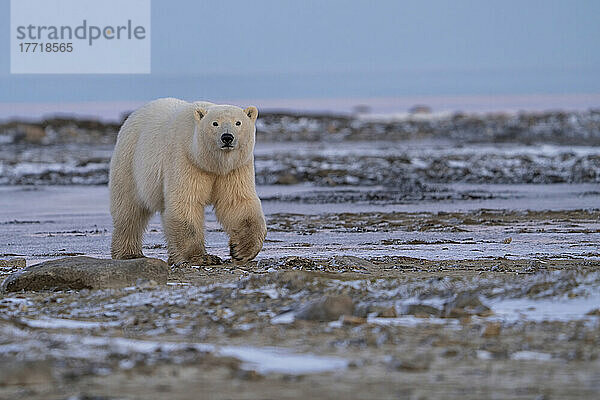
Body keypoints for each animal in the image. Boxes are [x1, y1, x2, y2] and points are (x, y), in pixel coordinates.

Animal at [108, 97, 268, 266]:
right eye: (215, 123)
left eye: (238, 122)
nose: (227, 137)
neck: (211, 163)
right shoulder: (185, 159)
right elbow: (186, 202)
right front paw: (201, 257)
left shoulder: (235, 168)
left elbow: (237, 202)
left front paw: (241, 250)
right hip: (129, 163)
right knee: (129, 211)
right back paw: (128, 253)